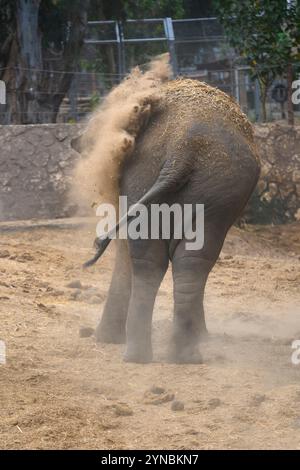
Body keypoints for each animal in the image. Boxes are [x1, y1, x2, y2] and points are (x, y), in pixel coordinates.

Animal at [75, 78, 260, 364]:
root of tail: (182, 150)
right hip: (202, 187)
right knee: (187, 260)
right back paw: (173, 355)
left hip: (176, 180)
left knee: (163, 260)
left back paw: (154, 355)